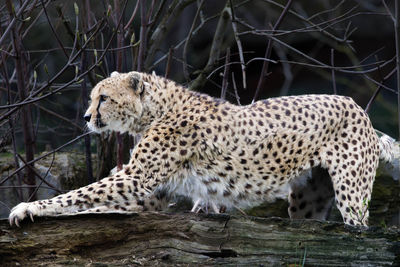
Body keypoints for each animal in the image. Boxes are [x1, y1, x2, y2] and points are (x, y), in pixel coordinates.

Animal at [7, 72, 396, 227]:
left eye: (103, 98)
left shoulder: (136, 179)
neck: (154, 110)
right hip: (308, 201)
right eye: (93, 98)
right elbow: (91, 201)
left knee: (360, 228)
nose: (88, 117)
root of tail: (356, 105)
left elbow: (78, 194)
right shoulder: (151, 191)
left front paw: (28, 207)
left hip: (351, 194)